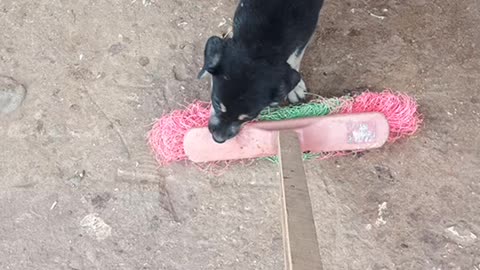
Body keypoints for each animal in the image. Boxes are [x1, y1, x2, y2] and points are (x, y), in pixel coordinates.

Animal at [197, 0, 324, 143]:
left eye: (249, 117)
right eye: (217, 103)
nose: (218, 139)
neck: (261, 45)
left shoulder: (307, 30)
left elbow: (295, 57)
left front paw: (295, 89)